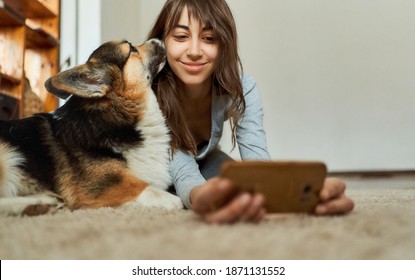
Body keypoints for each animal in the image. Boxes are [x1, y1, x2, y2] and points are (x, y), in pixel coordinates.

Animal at [0, 38, 183, 215]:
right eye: (132, 49)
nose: (157, 40)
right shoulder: (101, 186)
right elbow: (150, 190)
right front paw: (172, 201)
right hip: (7, 156)